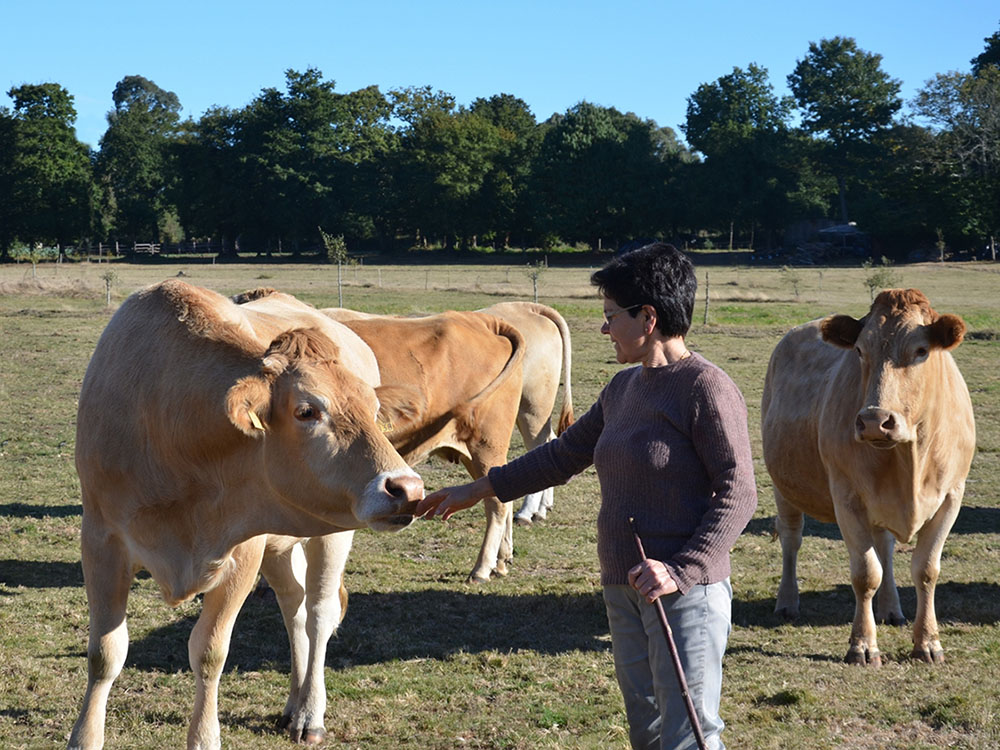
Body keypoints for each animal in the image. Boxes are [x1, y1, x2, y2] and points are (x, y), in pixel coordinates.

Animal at [68, 282, 422, 750]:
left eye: (374, 410)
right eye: (307, 410)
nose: (407, 488)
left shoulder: (243, 550)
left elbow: (210, 651)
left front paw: (204, 737)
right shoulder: (101, 540)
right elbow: (105, 653)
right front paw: (84, 736)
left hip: (333, 532)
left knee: (319, 613)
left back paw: (310, 712)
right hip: (282, 544)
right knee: (295, 607)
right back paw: (293, 703)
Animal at [760, 290, 972, 668]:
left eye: (921, 350)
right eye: (859, 350)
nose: (875, 421)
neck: (909, 458)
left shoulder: (951, 496)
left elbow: (926, 569)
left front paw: (928, 642)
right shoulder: (847, 497)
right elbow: (865, 572)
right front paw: (862, 645)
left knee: (884, 546)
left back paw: (892, 610)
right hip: (783, 486)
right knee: (791, 539)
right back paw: (787, 601)